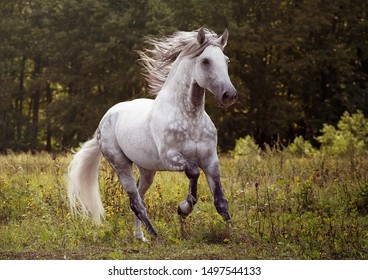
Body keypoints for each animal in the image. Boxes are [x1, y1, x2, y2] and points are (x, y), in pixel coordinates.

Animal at [67, 27, 237, 241]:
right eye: (205, 61)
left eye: (226, 60)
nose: (229, 95)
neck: (190, 117)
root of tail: (104, 120)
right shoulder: (170, 157)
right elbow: (193, 170)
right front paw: (184, 208)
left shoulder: (211, 160)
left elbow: (220, 200)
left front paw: (233, 232)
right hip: (121, 165)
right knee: (136, 202)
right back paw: (154, 235)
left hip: (147, 170)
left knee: (139, 196)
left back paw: (140, 237)